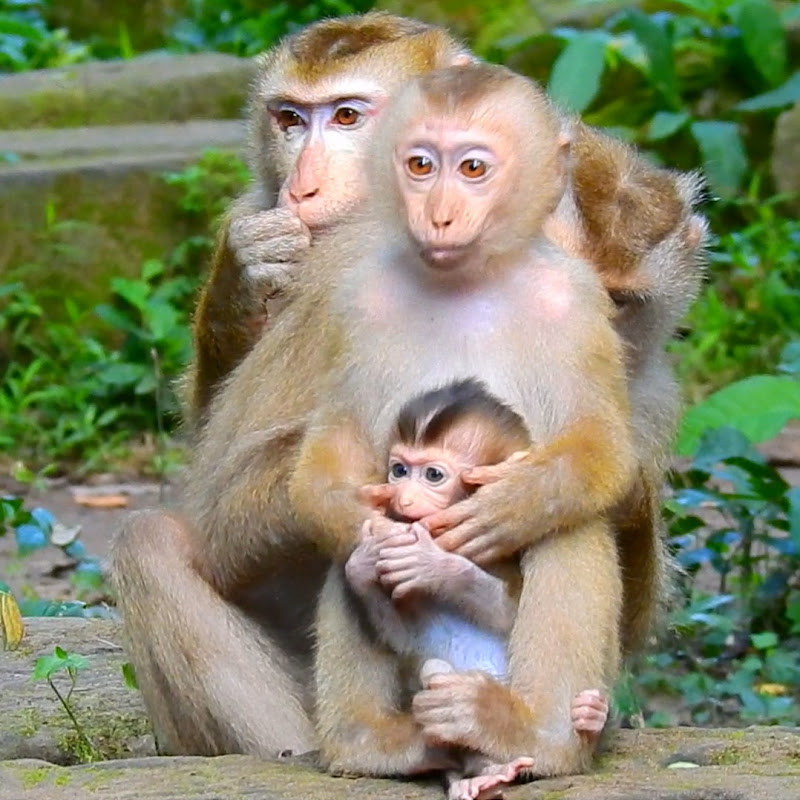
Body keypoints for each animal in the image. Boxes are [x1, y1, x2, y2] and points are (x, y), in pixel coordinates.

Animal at [345, 379, 609, 799]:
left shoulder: (505, 550)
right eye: (399, 470)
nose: (403, 498)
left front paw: (436, 564)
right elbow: (403, 637)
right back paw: (473, 776)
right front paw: (363, 562)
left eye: (433, 476)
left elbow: (509, 615)